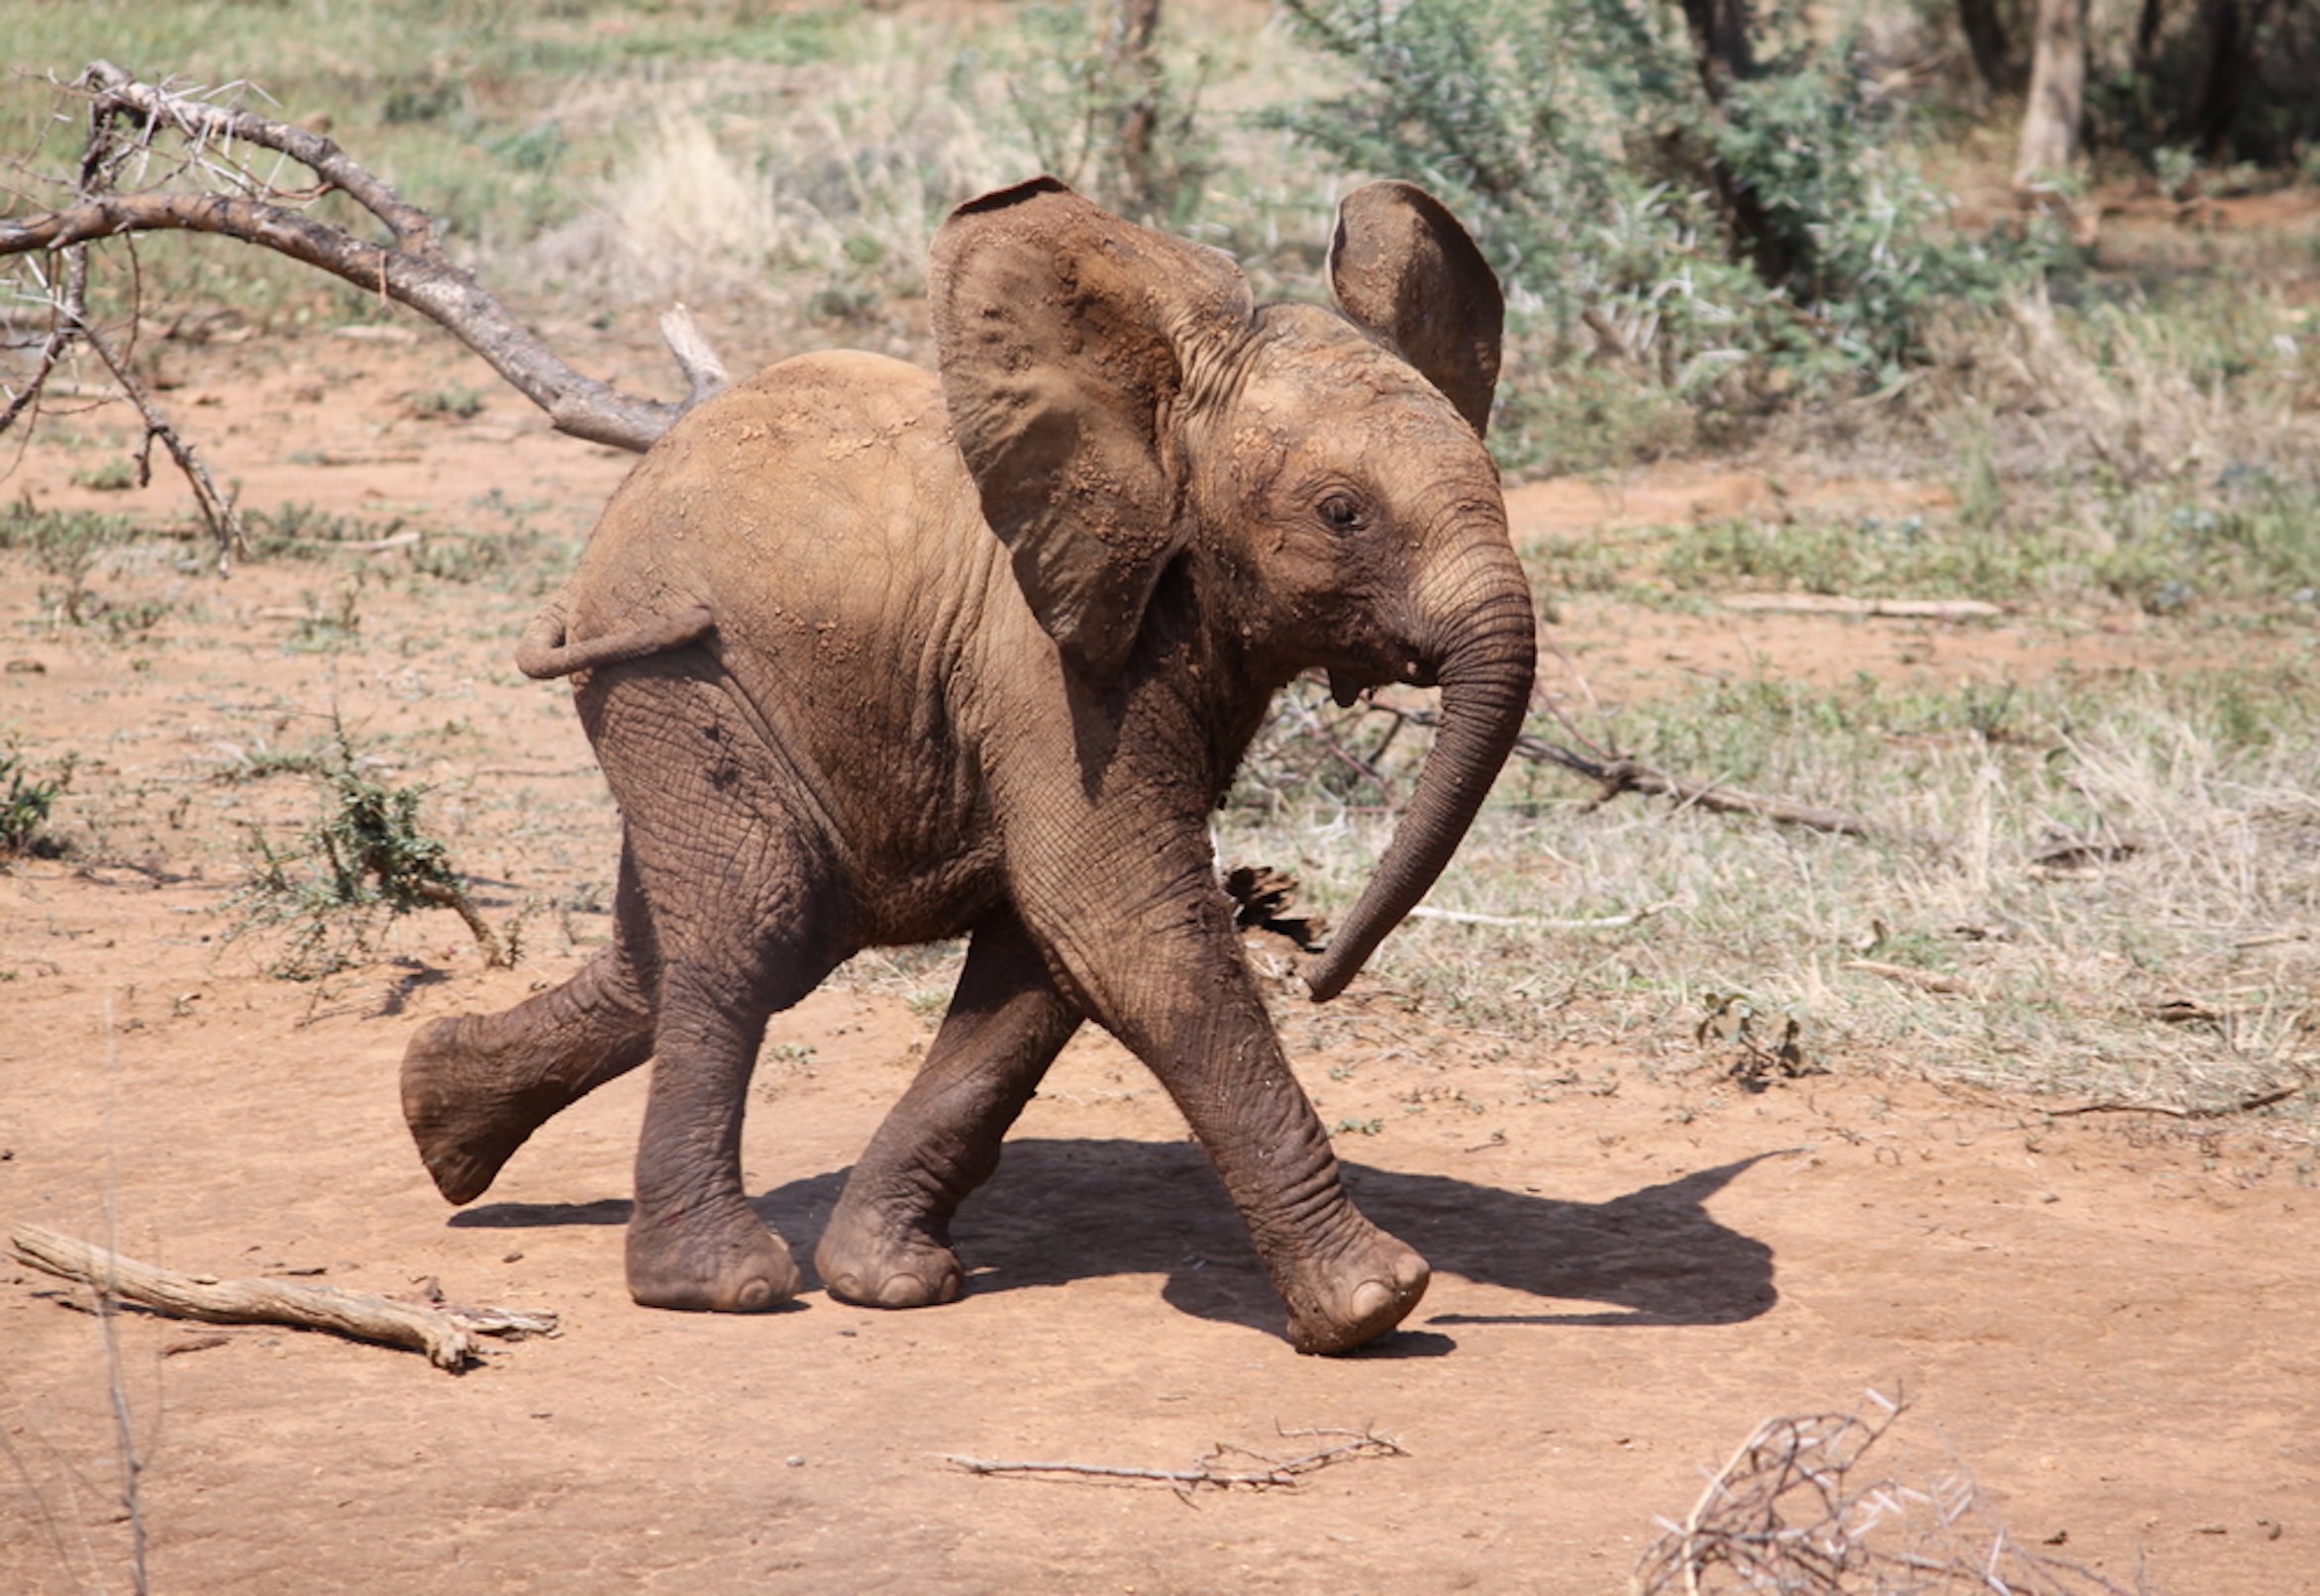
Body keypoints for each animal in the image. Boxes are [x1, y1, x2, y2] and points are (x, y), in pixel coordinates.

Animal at [403, 180, 1540, 1354]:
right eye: (1342, 514)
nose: (1311, 958)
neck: (1153, 417)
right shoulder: (1043, 662)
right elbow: (1119, 916)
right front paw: (1373, 1305)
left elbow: (1048, 947)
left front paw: (887, 1279)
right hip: (673, 671)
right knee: (755, 926)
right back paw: (717, 1282)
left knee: (688, 945)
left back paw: (437, 1117)